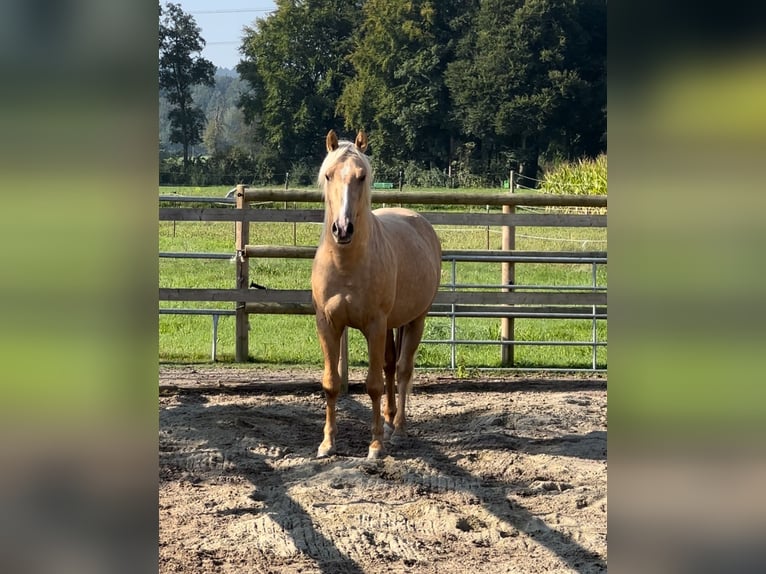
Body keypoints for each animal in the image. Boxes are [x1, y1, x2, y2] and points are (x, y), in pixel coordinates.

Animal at [312, 130, 444, 460]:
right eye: (329, 175)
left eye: (362, 176)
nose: (342, 229)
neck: (346, 265)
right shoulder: (327, 323)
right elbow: (331, 383)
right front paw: (327, 444)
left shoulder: (374, 325)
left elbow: (373, 385)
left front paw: (375, 446)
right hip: (391, 326)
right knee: (389, 366)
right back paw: (388, 418)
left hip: (415, 320)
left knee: (402, 370)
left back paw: (397, 429)